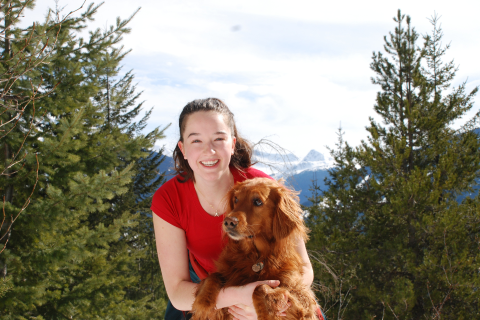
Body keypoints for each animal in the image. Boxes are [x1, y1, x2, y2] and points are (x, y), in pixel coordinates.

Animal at [191, 178, 318, 320]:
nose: (228, 222)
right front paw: (203, 299)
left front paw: (267, 312)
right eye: (236, 199)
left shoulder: (302, 298)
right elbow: (214, 275)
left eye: (257, 201)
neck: (256, 257)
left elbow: (261, 286)